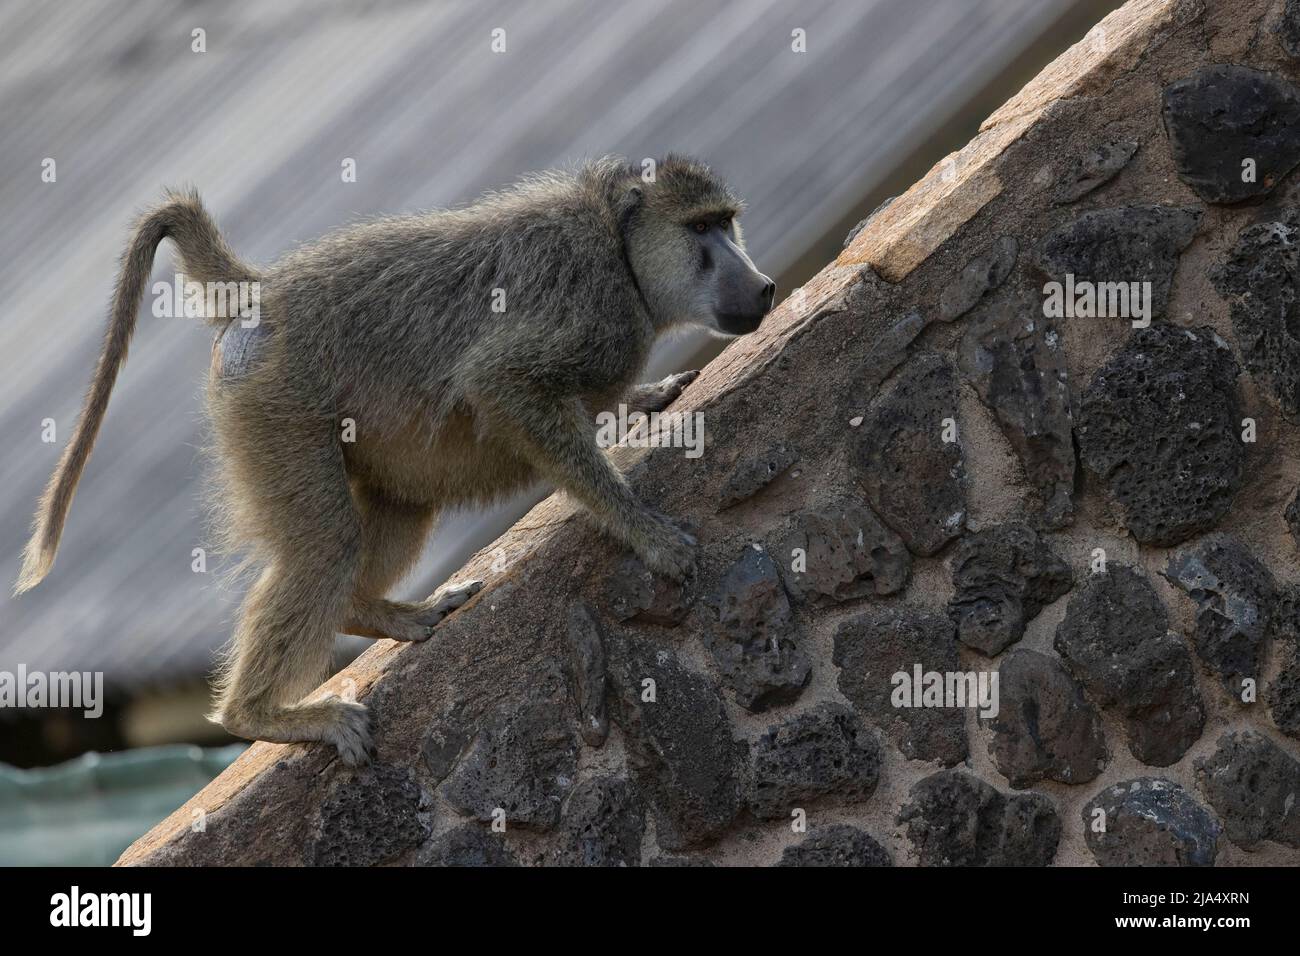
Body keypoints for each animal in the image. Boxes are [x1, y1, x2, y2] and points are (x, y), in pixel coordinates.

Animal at [15, 154, 775, 765]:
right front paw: (647, 534)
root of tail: (263, 289)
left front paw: (644, 400)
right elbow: (500, 386)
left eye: (727, 223)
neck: (620, 250)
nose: (764, 286)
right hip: (273, 405)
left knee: (400, 508)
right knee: (325, 543)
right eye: (700, 230)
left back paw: (379, 615)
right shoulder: (590, 303)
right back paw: (265, 716)